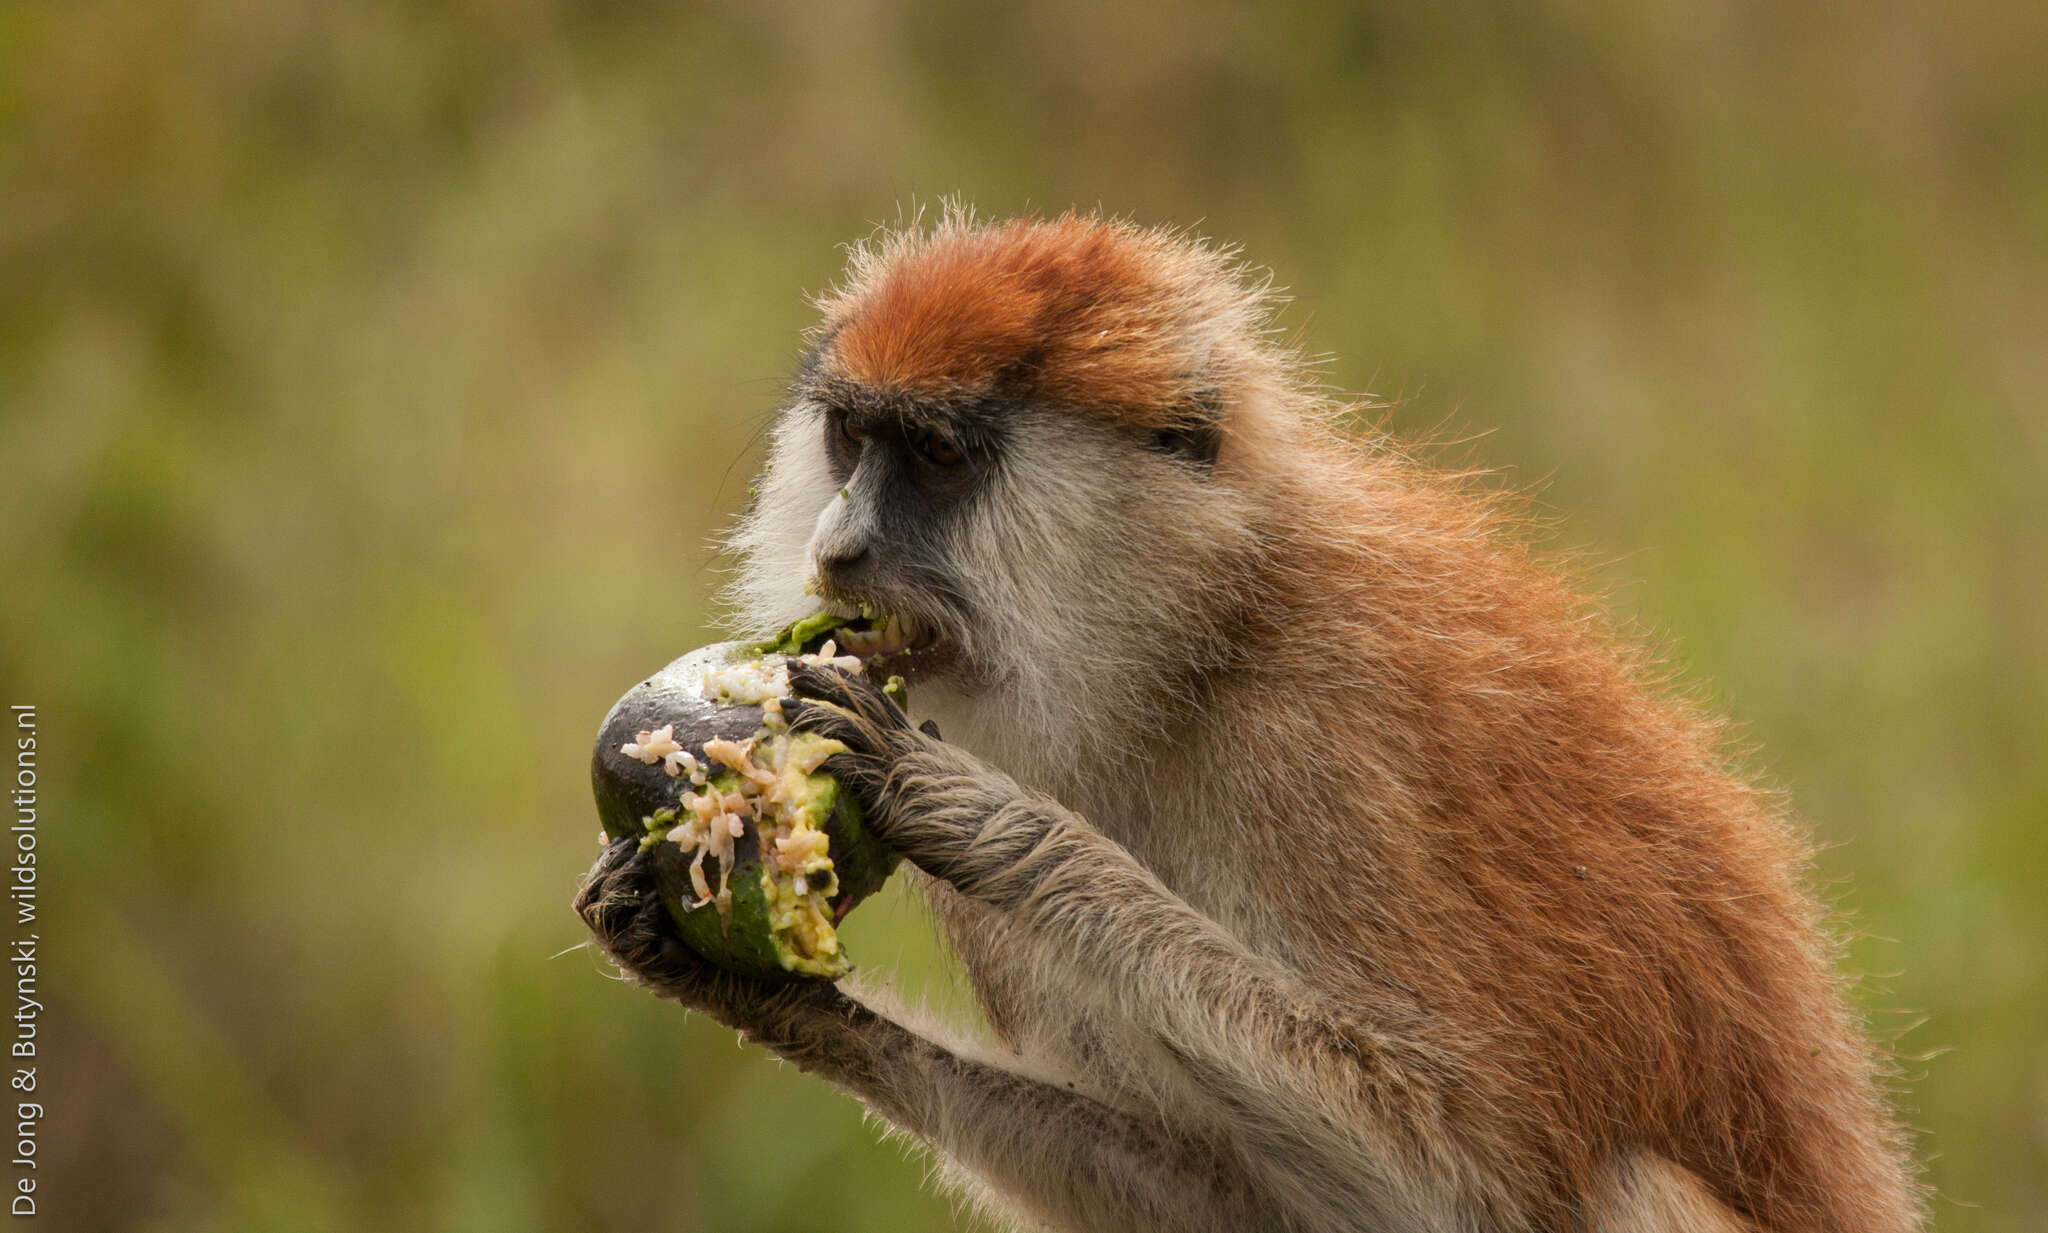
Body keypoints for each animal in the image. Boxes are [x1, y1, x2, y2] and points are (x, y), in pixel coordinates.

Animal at [577, 210, 1916, 1228]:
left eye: (940, 457)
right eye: (851, 436)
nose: (840, 544)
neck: (1190, 647)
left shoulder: (1323, 739)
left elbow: (1466, 1168)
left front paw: (983, 818)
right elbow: (1237, 1197)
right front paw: (744, 983)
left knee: (1631, 1184)